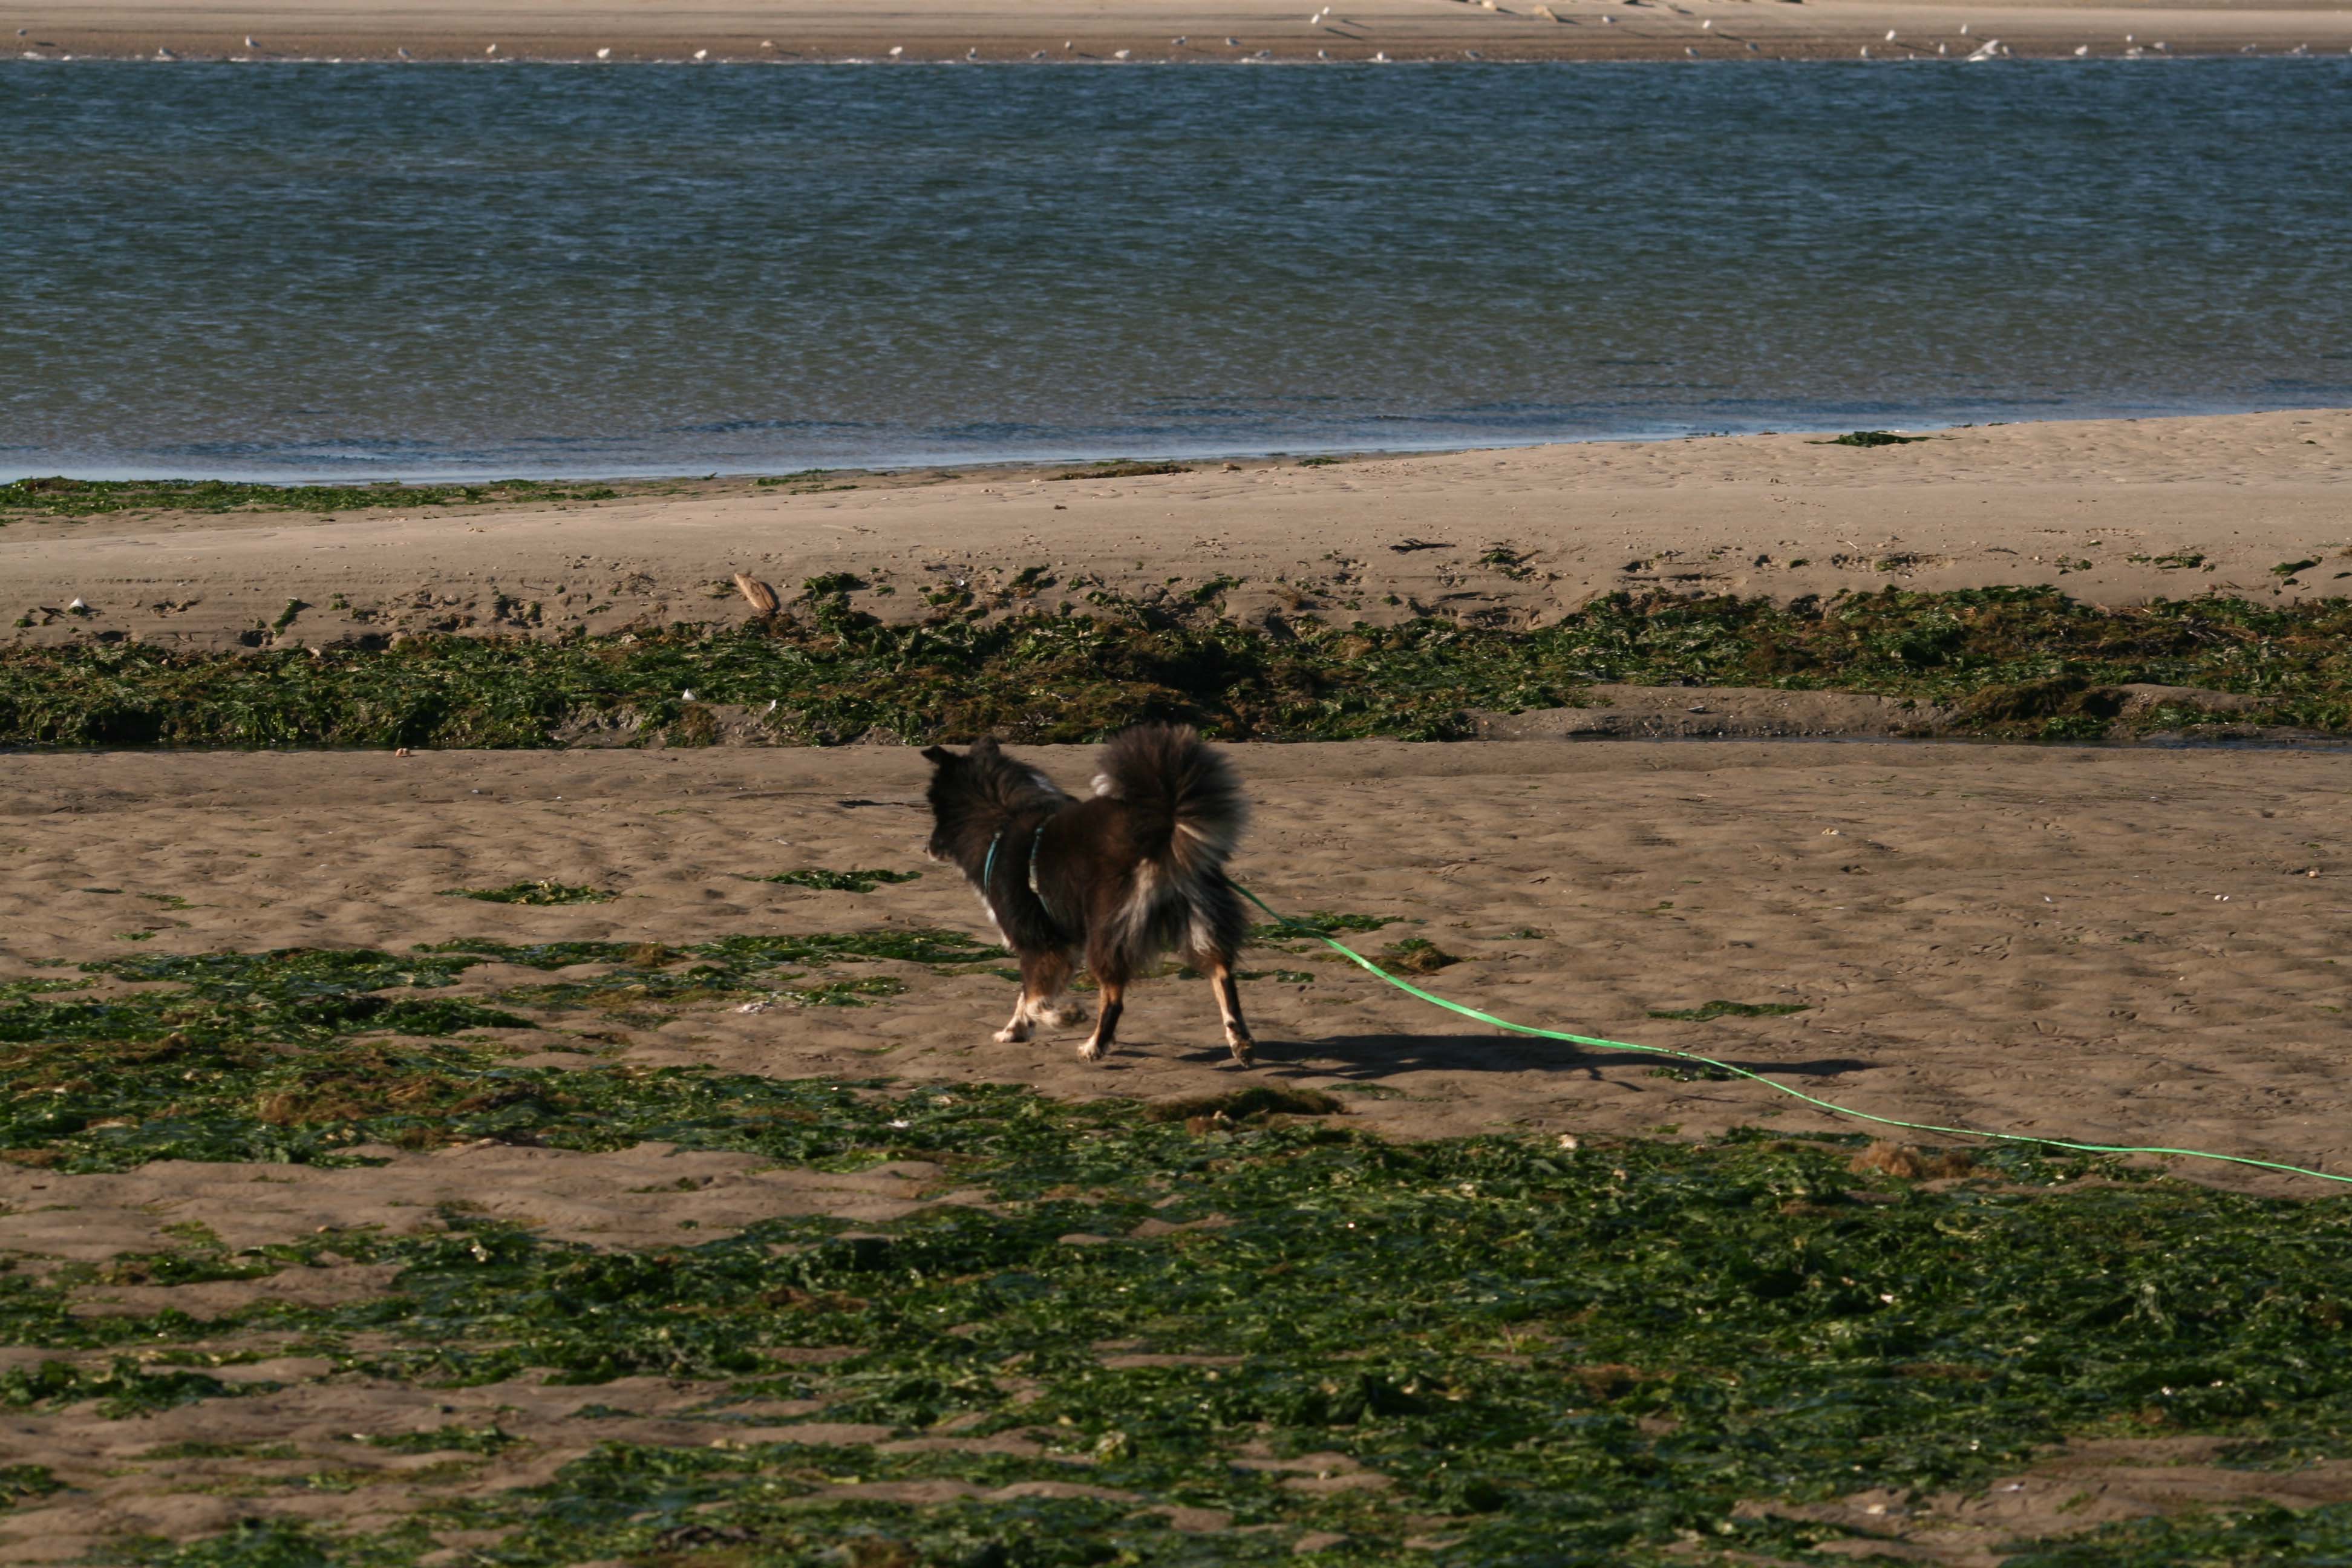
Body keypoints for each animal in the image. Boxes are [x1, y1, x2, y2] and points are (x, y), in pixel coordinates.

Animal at [917, 724, 1260, 1067]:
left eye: (935, 813)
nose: (926, 849)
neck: (1003, 816)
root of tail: (1164, 825)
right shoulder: (1059, 945)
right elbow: (1026, 996)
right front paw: (1015, 1030)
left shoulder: (1041, 943)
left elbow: (1035, 1000)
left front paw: (1064, 1017)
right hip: (1198, 919)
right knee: (1222, 973)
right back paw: (1240, 1041)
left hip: (1107, 928)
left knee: (1114, 996)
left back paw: (1095, 1045)